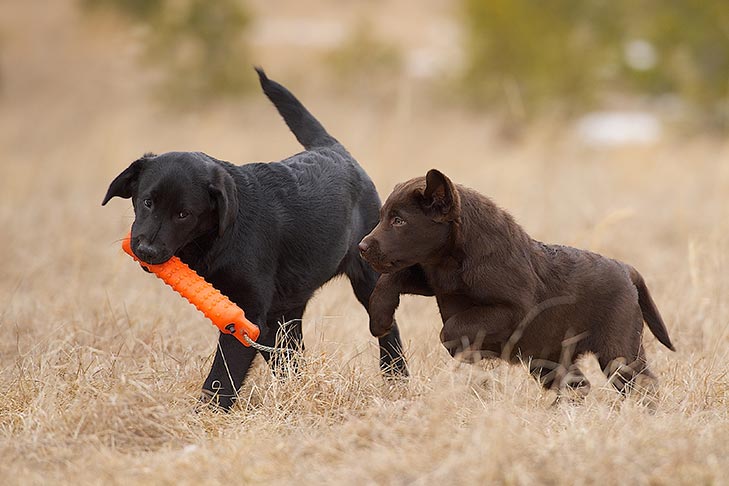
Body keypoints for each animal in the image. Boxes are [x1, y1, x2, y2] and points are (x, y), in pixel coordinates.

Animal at [101, 68, 406, 410]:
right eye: (147, 202)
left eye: (184, 214)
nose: (145, 249)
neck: (221, 237)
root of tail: (334, 149)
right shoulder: (259, 316)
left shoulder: (245, 315)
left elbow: (223, 374)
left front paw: (206, 413)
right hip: (286, 308)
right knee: (289, 355)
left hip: (367, 275)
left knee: (388, 329)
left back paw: (396, 377)